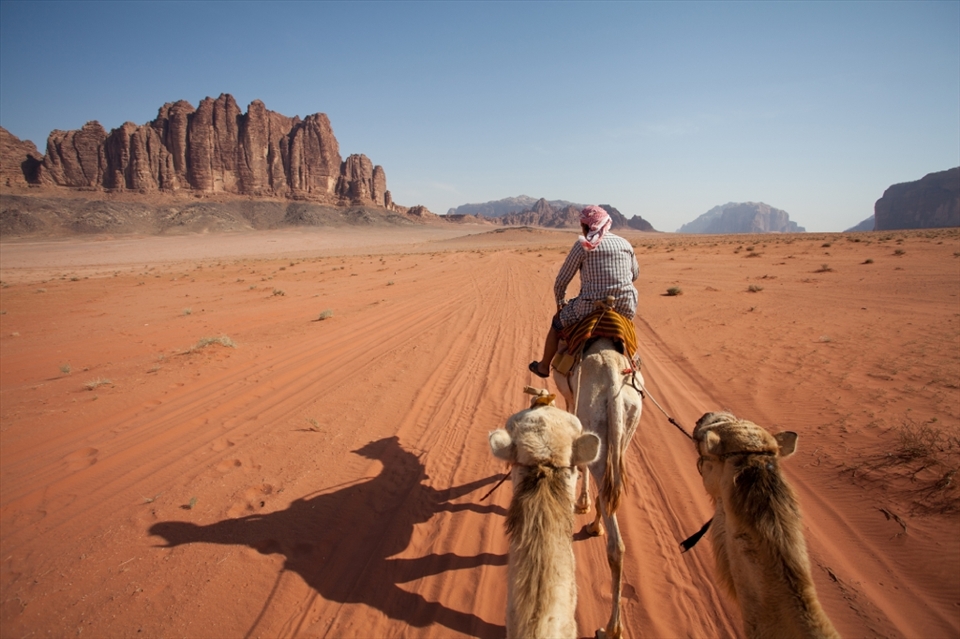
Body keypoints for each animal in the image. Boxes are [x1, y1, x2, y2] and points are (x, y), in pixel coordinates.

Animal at [554, 336, 643, 639]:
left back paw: (611, 628)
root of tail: (615, 378)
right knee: (609, 491)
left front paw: (580, 499)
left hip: (594, 415)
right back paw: (595, 525)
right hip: (627, 426)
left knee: (617, 546)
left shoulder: (572, 397)